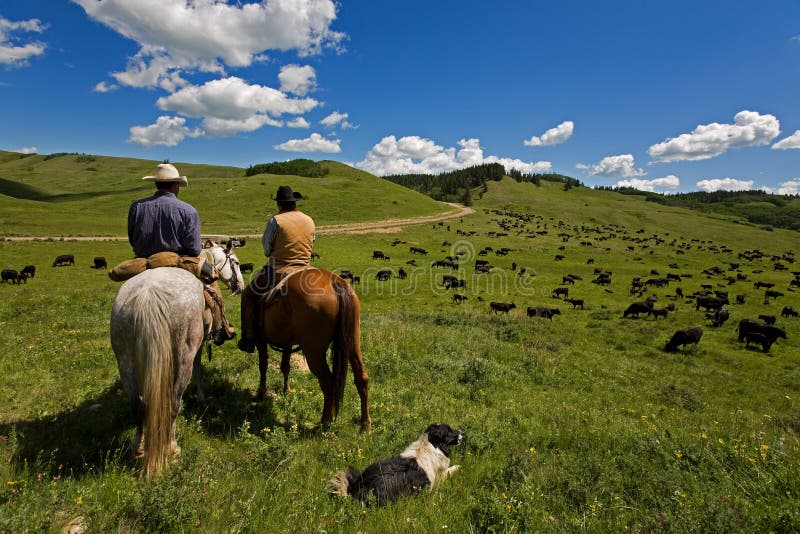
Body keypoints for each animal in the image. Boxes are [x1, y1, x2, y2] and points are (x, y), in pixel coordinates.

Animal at [108, 243, 244, 478]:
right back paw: (171, 447)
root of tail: (148, 295)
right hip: (183, 356)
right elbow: (199, 369)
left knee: (138, 406)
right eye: (235, 262)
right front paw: (201, 397)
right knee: (173, 403)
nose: (241, 286)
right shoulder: (197, 346)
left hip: (125, 361)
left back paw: (139, 448)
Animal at [253, 270, 372, 434]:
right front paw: (286, 390)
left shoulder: (261, 341)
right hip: (353, 342)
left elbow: (263, 365)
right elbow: (285, 365)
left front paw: (261, 393)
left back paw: (324, 422)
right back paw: (365, 424)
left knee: (328, 382)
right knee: (361, 377)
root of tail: (335, 282)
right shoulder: (287, 343)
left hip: (314, 352)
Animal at [330, 422, 462, 506]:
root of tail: (355, 489)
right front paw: (458, 467)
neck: (429, 444)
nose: (462, 432)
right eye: (450, 431)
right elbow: (448, 471)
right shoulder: (436, 480)